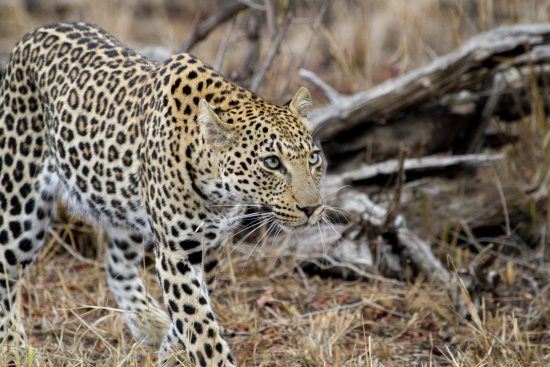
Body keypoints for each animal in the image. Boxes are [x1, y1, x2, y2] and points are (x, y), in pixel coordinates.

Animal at [0, 22, 326, 366]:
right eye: (272, 162)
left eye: (313, 158)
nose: (313, 209)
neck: (220, 194)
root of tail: (36, 32)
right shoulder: (176, 250)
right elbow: (199, 321)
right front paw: (210, 357)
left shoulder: (210, 247)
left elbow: (195, 310)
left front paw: (171, 349)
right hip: (21, 201)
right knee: (6, 270)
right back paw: (13, 345)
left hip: (124, 211)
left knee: (117, 267)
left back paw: (150, 323)